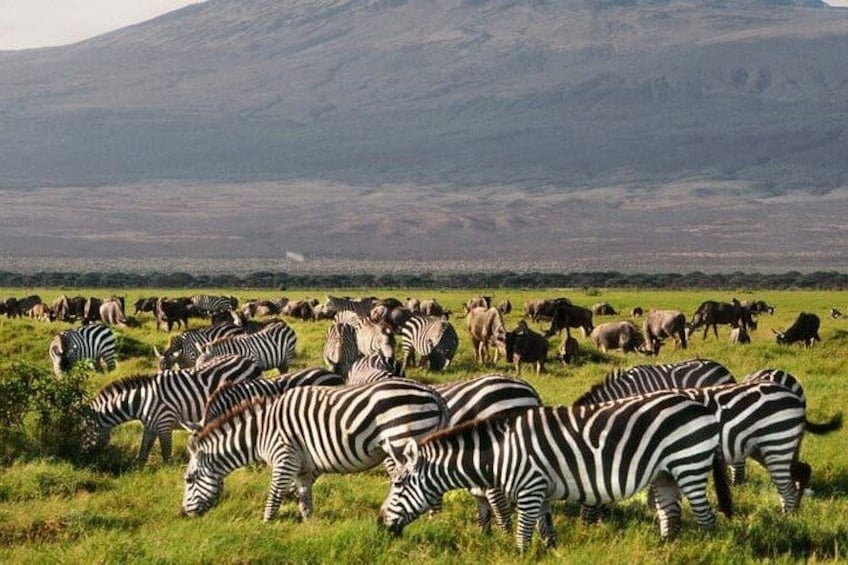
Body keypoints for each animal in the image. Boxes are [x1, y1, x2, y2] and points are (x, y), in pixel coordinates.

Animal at [82, 355, 261, 465]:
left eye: (83, 431)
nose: (86, 458)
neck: (141, 401)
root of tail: (249, 360)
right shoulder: (150, 426)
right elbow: (143, 452)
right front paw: (138, 471)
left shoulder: (164, 423)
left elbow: (166, 453)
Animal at [181, 379, 449, 522]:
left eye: (189, 479)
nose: (183, 514)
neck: (260, 433)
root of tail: (430, 391)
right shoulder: (302, 467)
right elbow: (304, 497)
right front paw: (310, 527)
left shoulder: (284, 457)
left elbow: (274, 495)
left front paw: (265, 526)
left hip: (404, 439)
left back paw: (431, 524)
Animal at [378, 393, 732, 551]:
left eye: (399, 484)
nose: (379, 524)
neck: (500, 452)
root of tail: (700, 405)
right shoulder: (541, 490)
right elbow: (545, 528)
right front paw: (550, 551)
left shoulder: (529, 487)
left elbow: (523, 532)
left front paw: (520, 555)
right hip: (664, 473)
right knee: (671, 514)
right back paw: (665, 548)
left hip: (688, 464)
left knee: (706, 517)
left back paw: (708, 546)